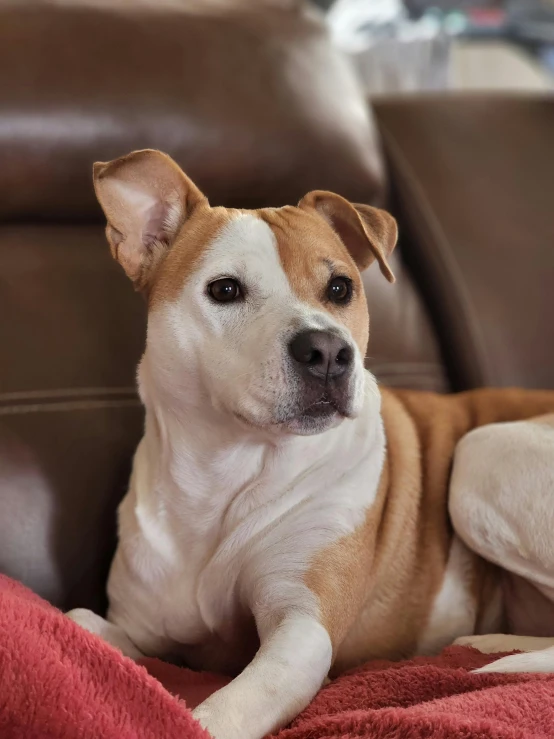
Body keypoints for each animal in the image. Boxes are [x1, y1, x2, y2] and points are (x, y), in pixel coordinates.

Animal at [68, 150, 552, 739]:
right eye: (225, 289)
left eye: (340, 288)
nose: (326, 351)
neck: (225, 472)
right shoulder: (143, 628)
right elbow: (83, 620)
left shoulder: (301, 630)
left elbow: (222, 712)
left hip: (481, 456)